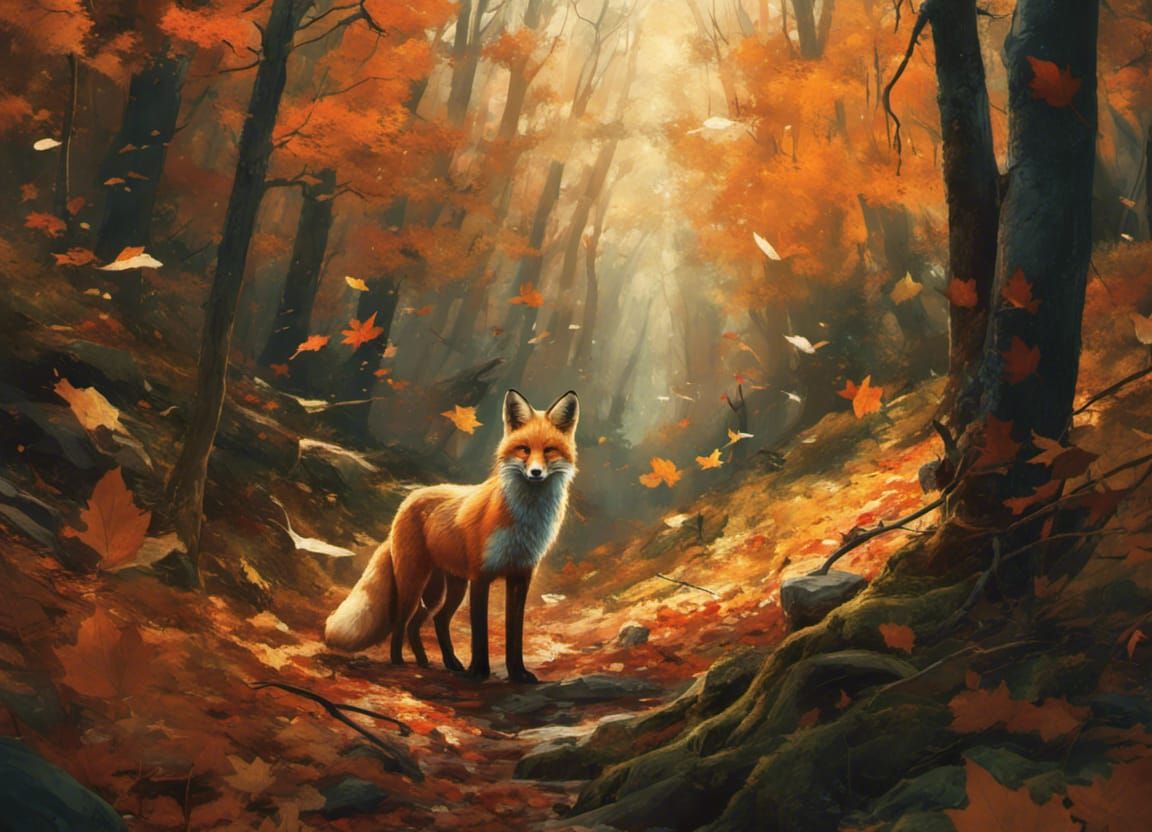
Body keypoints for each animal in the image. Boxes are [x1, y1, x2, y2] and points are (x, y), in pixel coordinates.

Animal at [324, 389, 579, 683]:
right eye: (524, 449)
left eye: (549, 450)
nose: (535, 473)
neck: (525, 519)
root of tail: (408, 500)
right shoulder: (481, 575)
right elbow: (479, 631)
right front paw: (479, 671)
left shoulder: (520, 575)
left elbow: (515, 633)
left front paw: (518, 673)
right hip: (415, 582)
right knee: (401, 621)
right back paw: (399, 662)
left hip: (446, 588)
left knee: (429, 621)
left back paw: (436, 662)